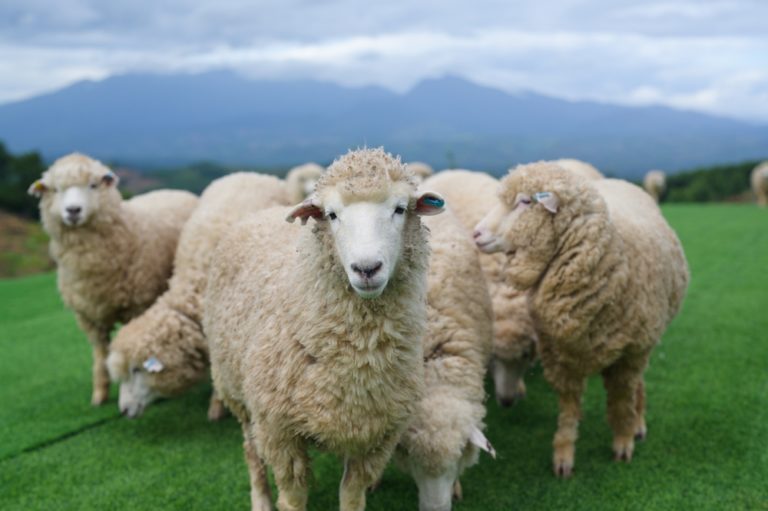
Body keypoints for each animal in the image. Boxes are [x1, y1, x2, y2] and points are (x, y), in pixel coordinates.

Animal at [28, 153, 198, 405]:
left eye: (93, 185)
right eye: (56, 189)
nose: (73, 210)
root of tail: (174, 190)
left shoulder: (136, 305)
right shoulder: (88, 317)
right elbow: (100, 354)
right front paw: (99, 394)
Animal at [203, 148, 446, 511]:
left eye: (400, 209)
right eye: (332, 215)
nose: (366, 268)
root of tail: (259, 214)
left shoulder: (376, 435)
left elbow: (352, 495)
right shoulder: (279, 432)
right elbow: (292, 499)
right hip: (237, 393)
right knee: (251, 452)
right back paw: (260, 499)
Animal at [473, 161, 689, 477]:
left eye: (525, 202)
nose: (475, 234)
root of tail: (620, 181)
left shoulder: (628, 354)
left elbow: (621, 402)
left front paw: (623, 442)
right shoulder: (559, 357)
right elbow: (568, 409)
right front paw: (563, 455)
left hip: (644, 341)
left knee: (637, 384)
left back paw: (637, 423)